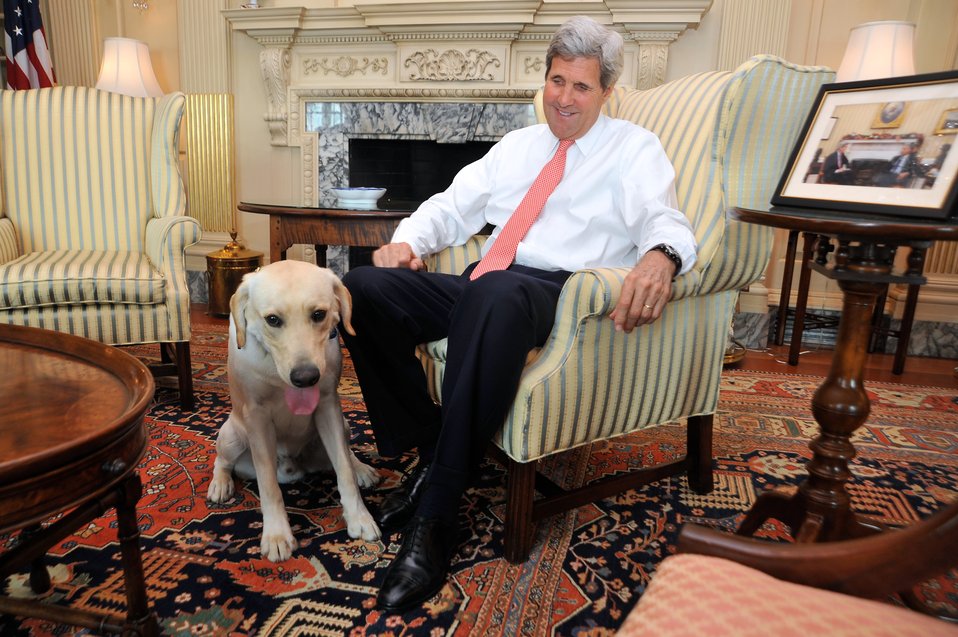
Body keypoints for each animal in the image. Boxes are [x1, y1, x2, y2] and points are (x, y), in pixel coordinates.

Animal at [208, 260, 380, 560]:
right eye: (273, 320)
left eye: (319, 314)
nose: (305, 377)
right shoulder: (256, 417)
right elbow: (268, 484)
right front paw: (277, 534)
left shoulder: (328, 405)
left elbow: (343, 470)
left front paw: (359, 517)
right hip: (231, 435)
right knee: (223, 461)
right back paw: (220, 484)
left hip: (344, 426)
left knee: (345, 454)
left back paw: (361, 468)